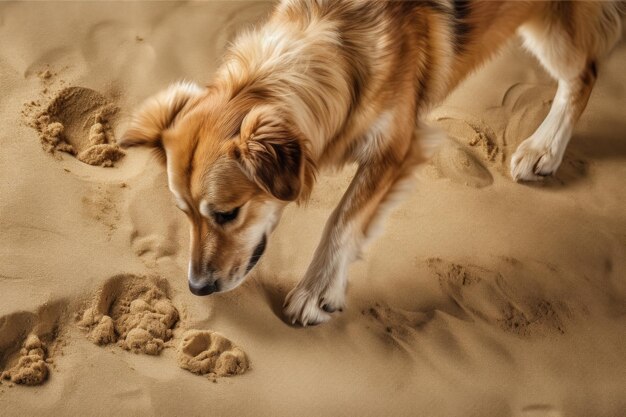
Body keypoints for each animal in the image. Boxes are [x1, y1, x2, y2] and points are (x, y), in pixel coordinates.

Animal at [119, 0, 620, 324]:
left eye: (227, 214)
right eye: (183, 213)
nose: (196, 289)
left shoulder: (396, 145)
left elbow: (342, 220)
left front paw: (317, 293)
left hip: (553, 28)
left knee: (584, 72)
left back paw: (545, 147)